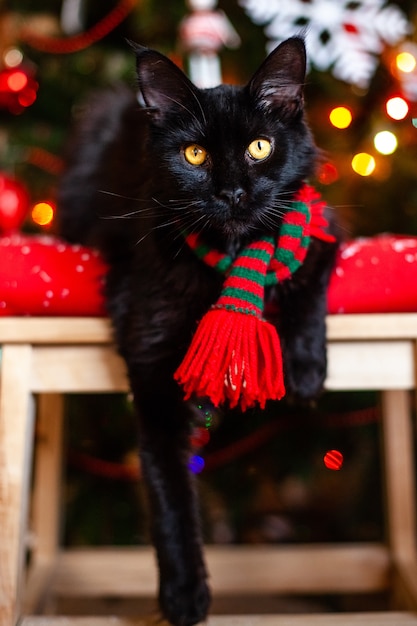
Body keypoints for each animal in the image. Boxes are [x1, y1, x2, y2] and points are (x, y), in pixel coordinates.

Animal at [57, 37, 338, 624]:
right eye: (194, 156)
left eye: (259, 147)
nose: (231, 192)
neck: (230, 256)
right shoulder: (151, 365)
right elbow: (169, 493)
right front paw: (184, 594)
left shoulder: (323, 224)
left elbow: (308, 273)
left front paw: (304, 368)